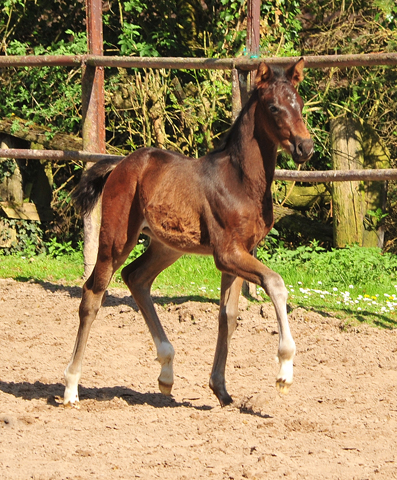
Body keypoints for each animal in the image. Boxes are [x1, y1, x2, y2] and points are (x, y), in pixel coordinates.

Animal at [64, 58, 312, 406]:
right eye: (274, 107)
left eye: (300, 104)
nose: (306, 146)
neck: (240, 181)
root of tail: (120, 164)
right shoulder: (227, 253)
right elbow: (275, 284)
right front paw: (285, 371)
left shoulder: (240, 254)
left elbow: (228, 315)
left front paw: (221, 389)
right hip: (116, 240)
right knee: (92, 294)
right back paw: (71, 387)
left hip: (167, 246)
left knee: (135, 277)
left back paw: (166, 372)